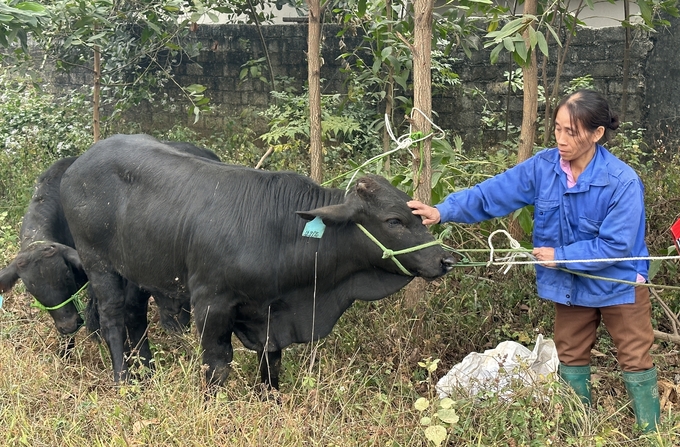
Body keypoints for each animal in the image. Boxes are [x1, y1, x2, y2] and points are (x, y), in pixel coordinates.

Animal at [59, 135, 456, 390]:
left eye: (415, 213)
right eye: (394, 221)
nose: (446, 259)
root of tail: (79, 162)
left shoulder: (271, 314)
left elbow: (272, 360)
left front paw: (270, 396)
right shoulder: (211, 303)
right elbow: (218, 363)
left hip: (139, 269)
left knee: (134, 316)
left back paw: (149, 372)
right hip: (99, 263)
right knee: (112, 318)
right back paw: (124, 379)